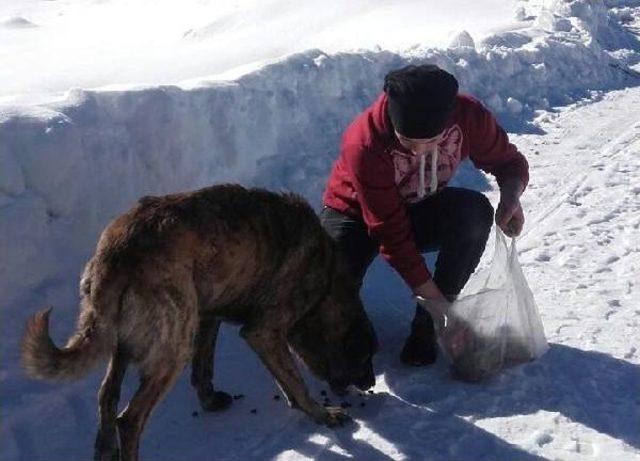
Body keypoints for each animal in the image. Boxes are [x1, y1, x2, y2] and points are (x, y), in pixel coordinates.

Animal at [22, 183, 378, 460]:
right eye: (365, 357)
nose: (372, 384)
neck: (326, 283)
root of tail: (118, 253)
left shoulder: (209, 315)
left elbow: (206, 366)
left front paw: (210, 400)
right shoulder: (263, 331)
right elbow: (294, 379)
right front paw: (321, 413)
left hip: (123, 337)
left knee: (107, 395)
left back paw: (104, 450)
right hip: (172, 346)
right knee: (130, 419)